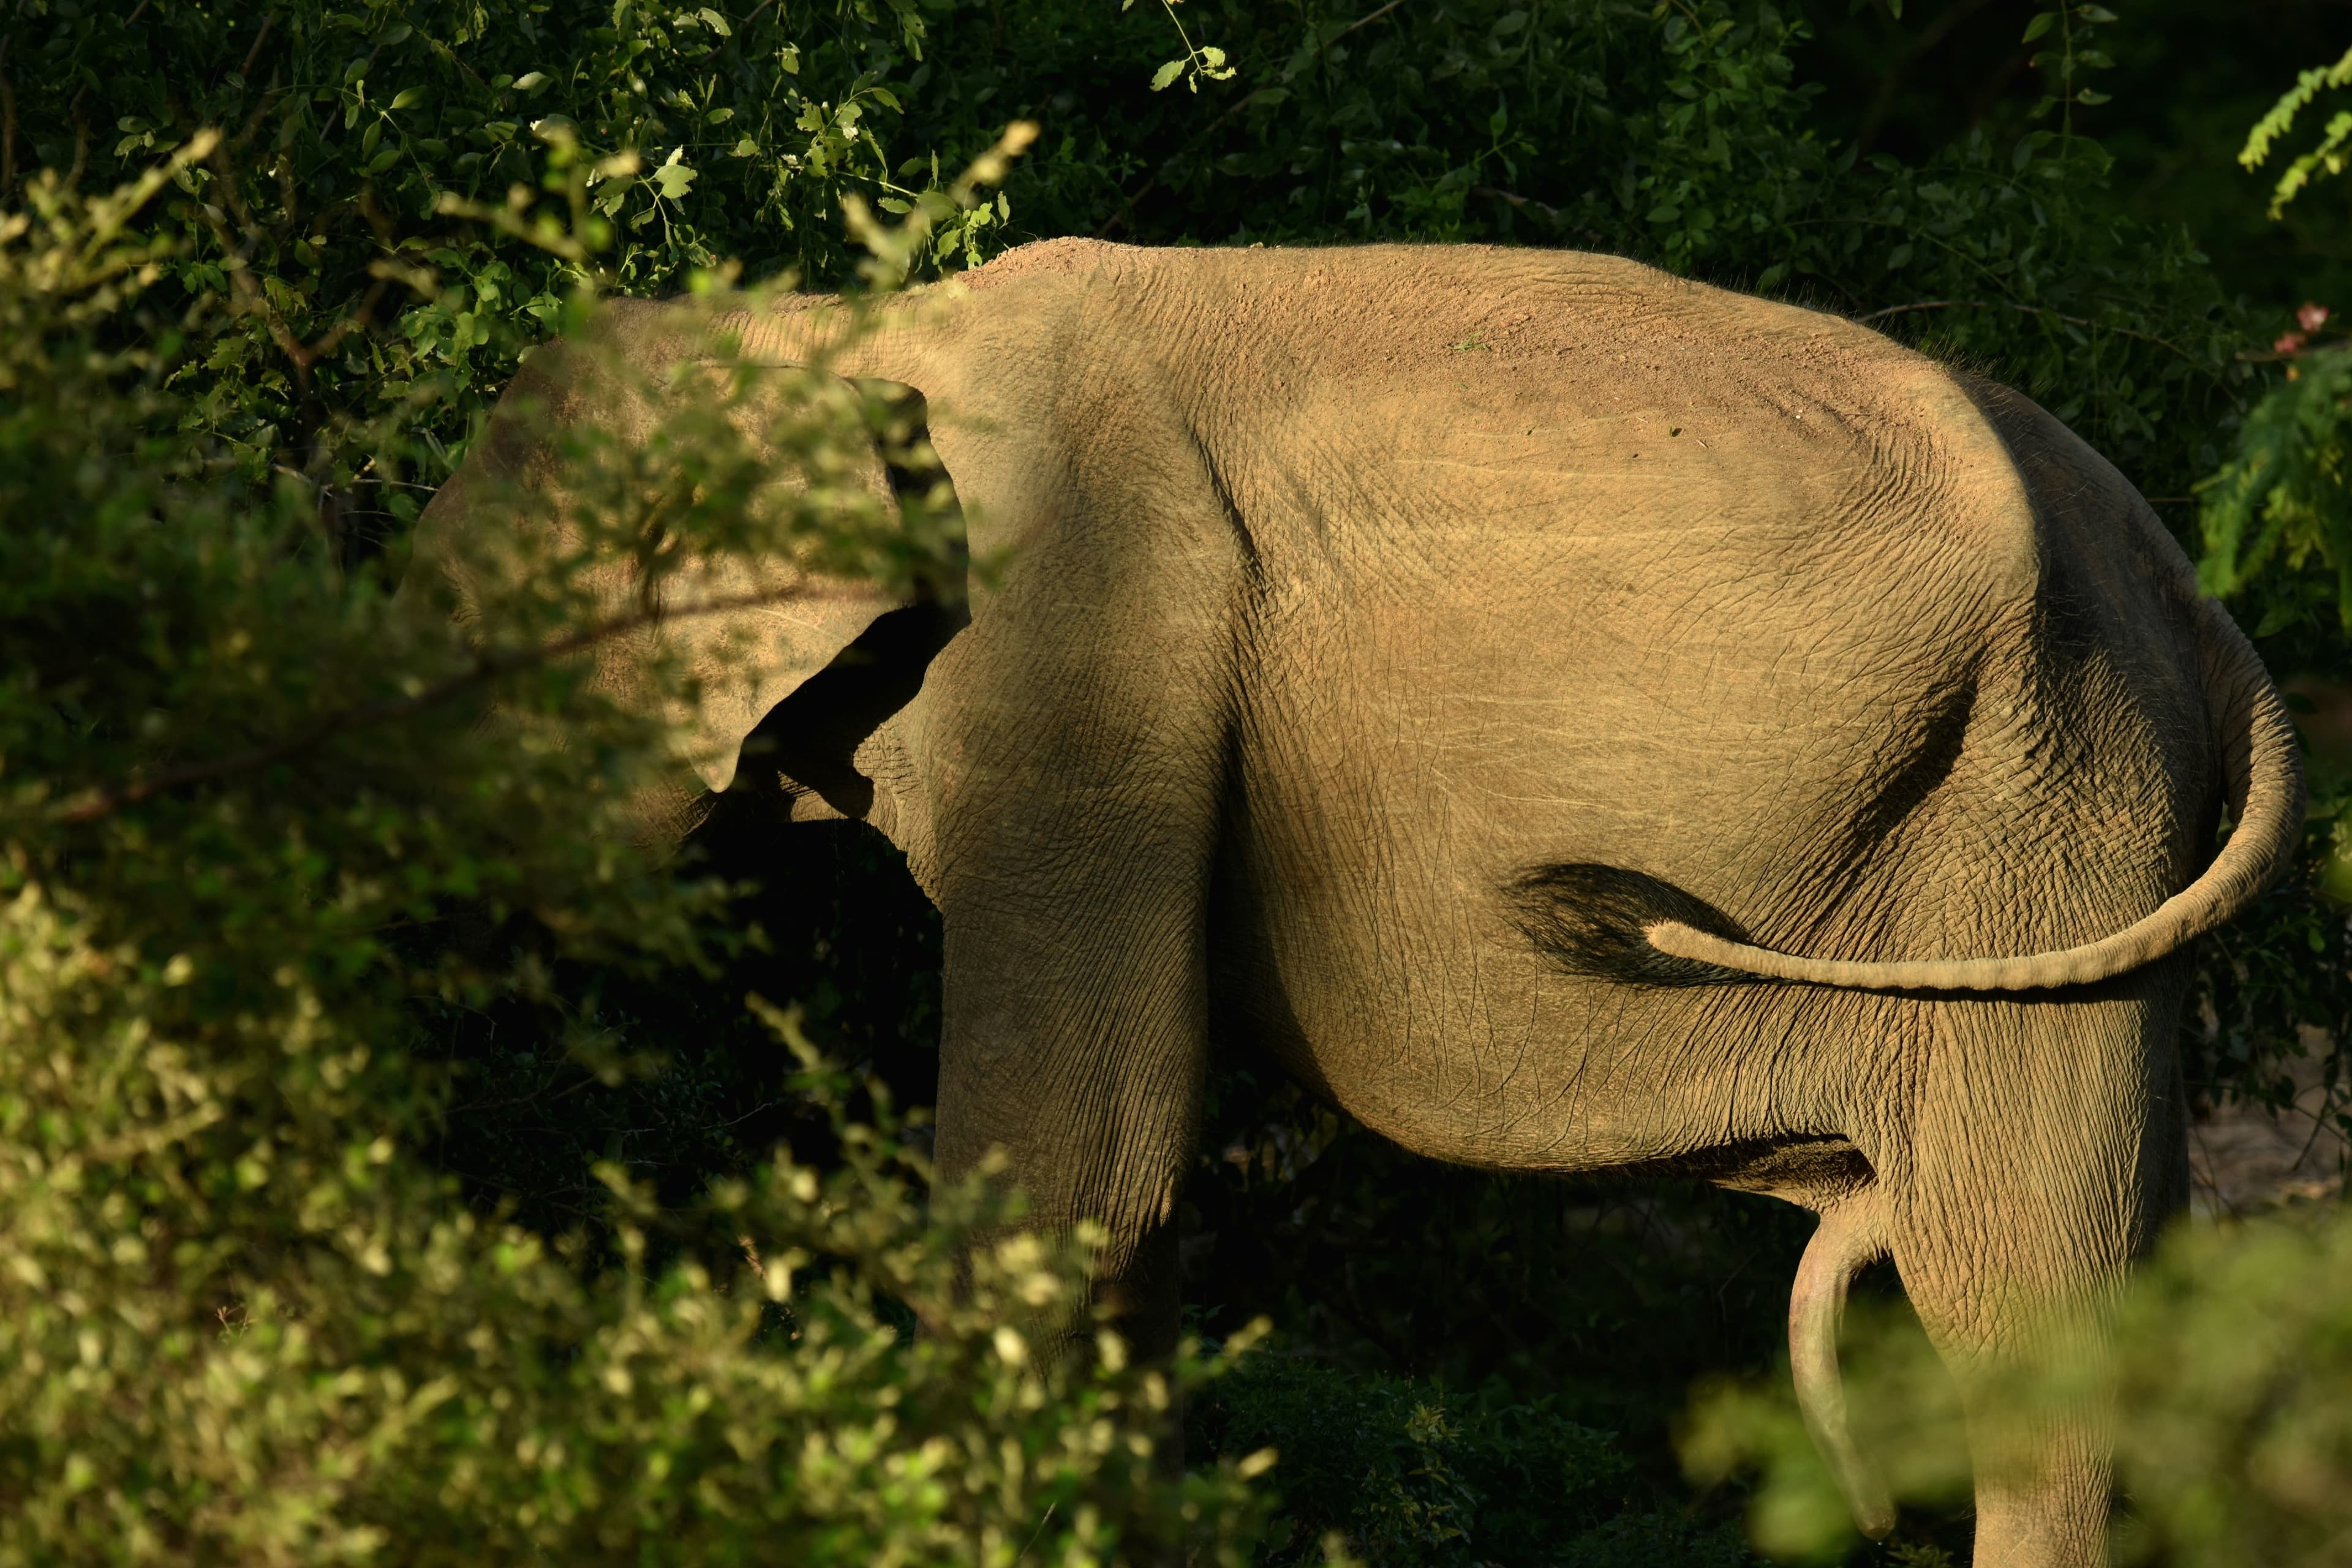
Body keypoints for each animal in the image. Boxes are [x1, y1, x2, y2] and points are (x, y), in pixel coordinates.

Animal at [414, 238, 2303, 1567]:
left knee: (2040, 1346)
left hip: (2044, 815)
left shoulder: (1090, 643)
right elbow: (1133, 1207)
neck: (848, 325)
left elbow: (1070, 1173)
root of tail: (2205, 608)